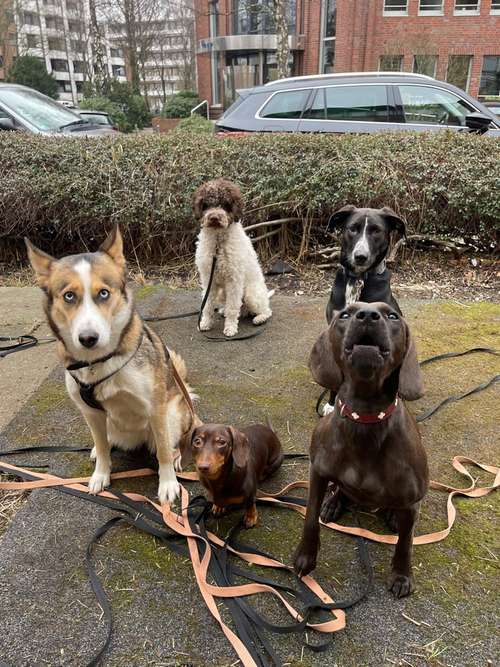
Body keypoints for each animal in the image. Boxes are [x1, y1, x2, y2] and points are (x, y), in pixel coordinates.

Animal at [25, 227, 197, 504]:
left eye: (103, 293)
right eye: (69, 296)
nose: (88, 338)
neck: (99, 362)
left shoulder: (156, 409)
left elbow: (162, 451)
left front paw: (169, 484)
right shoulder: (91, 413)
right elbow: (104, 448)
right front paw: (101, 474)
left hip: (173, 414)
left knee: (177, 438)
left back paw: (179, 454)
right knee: (106, 440)